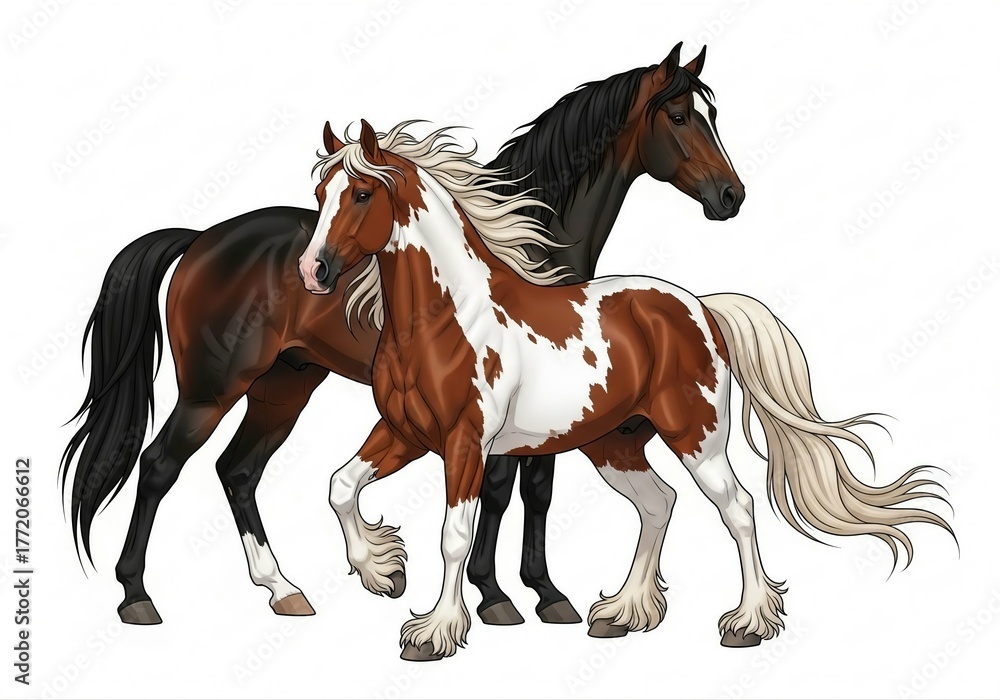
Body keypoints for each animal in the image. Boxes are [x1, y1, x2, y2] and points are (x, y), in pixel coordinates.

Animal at [60, 43, 744, 626]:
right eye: (680, 116)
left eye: (713, 113)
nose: (731, 196)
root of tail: (198, 238)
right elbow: (505, 492)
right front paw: (501, 596)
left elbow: (533, 490)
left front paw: (536, 592)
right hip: (212, 389)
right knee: (159, 466)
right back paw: (136, 593)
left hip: (285, 386)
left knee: (238, 470)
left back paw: (283, 589)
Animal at [297, 119, 952, 661]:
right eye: (320, 194)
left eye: (361, 193)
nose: (314, 272)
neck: (448, 317)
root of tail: (700, 308)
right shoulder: (403, 433)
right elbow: (339, 487)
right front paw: (383, 573)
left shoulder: (466, 444)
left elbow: (453, 535)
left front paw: (433, 633)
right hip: (614, 444)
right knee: (659, 503)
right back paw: (621, 614)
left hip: (696, 438)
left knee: (737, 508)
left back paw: (745, 623)